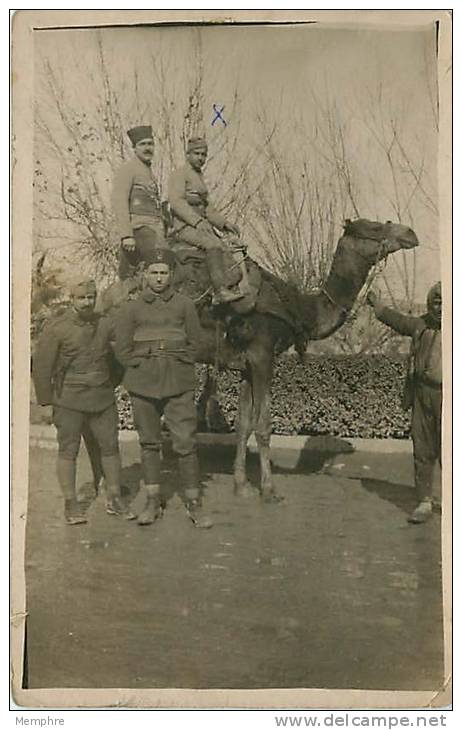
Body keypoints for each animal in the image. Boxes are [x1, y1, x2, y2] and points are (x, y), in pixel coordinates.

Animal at [100, 213, 418, 504]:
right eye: (374, 227)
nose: (410, 233)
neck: (299, 309)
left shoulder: (245, 365)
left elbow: (243, 425)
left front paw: (241, 485)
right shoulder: (263, 356)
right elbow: (263, 425)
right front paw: (268, 489)